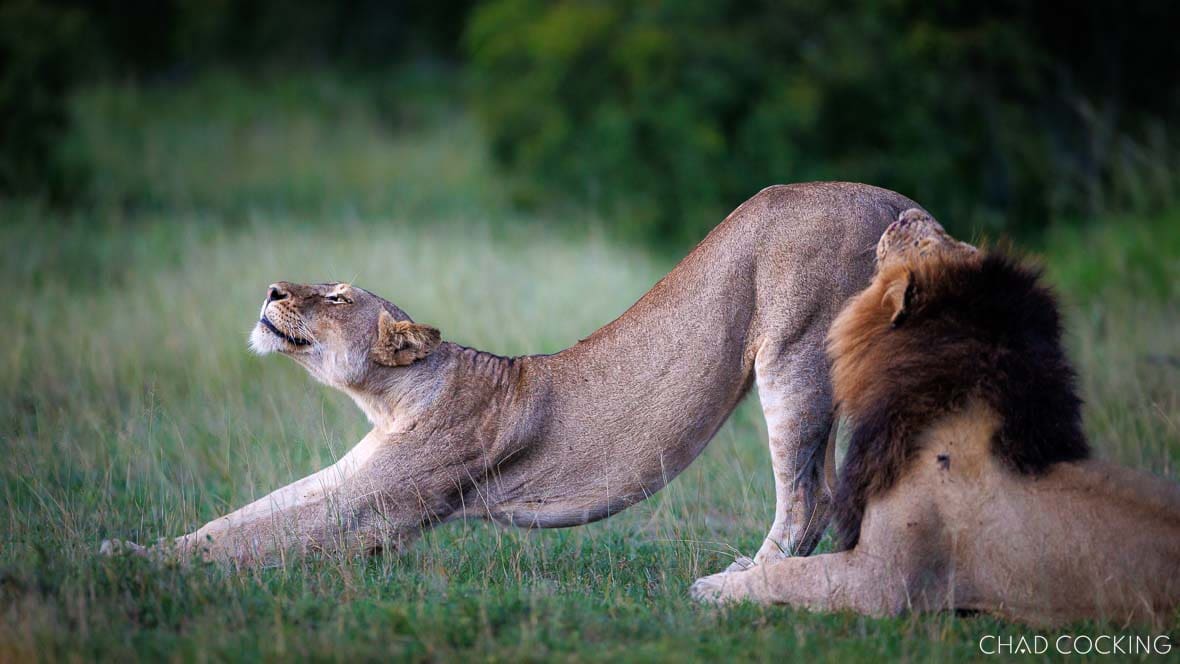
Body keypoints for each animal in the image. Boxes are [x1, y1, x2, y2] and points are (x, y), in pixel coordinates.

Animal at [101, 182, 923, 567]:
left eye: (336, 297)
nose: (272, 290)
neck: (390, 400)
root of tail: (893, 196)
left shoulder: (376, 509)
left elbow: (261, 538)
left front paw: (145, 571)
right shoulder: (352, 475)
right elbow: (243, 517)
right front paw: (132, 550)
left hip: (794, 353)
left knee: (808, 499)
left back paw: (740, 587)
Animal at [691, 209, 1180, 626]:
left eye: (927, 243)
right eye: (959, 242)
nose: (907, 214)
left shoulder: (883, 579)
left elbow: (789, 575)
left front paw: (713, 587)